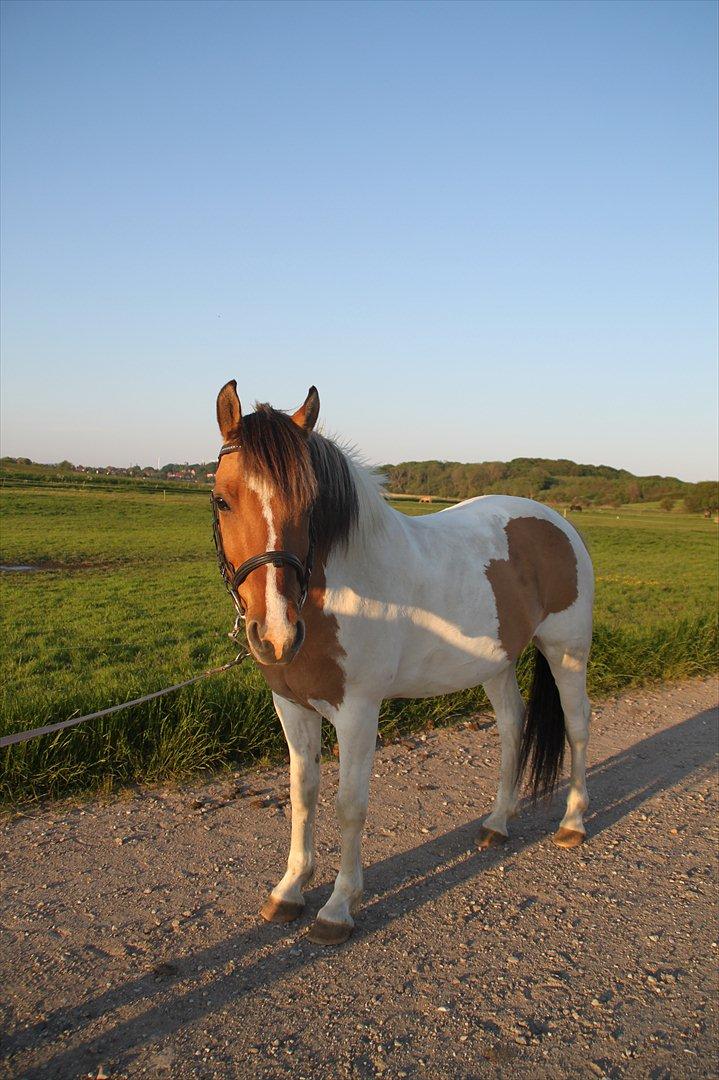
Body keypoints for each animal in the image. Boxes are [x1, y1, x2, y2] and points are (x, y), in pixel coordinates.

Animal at [210, 382, 591, 946]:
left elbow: (350, 804)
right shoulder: (291, 705)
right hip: (496, 664)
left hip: (567, 650)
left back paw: (573, 823)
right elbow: (303, 795)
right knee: (511, 726)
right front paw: (289, 891)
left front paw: (338, 907)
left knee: (577, 726)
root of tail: (559, 522)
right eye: (222, 499)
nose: (276, 634)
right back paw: (497, 823)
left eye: (310, 503)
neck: (338, 591)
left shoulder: (358, 711)